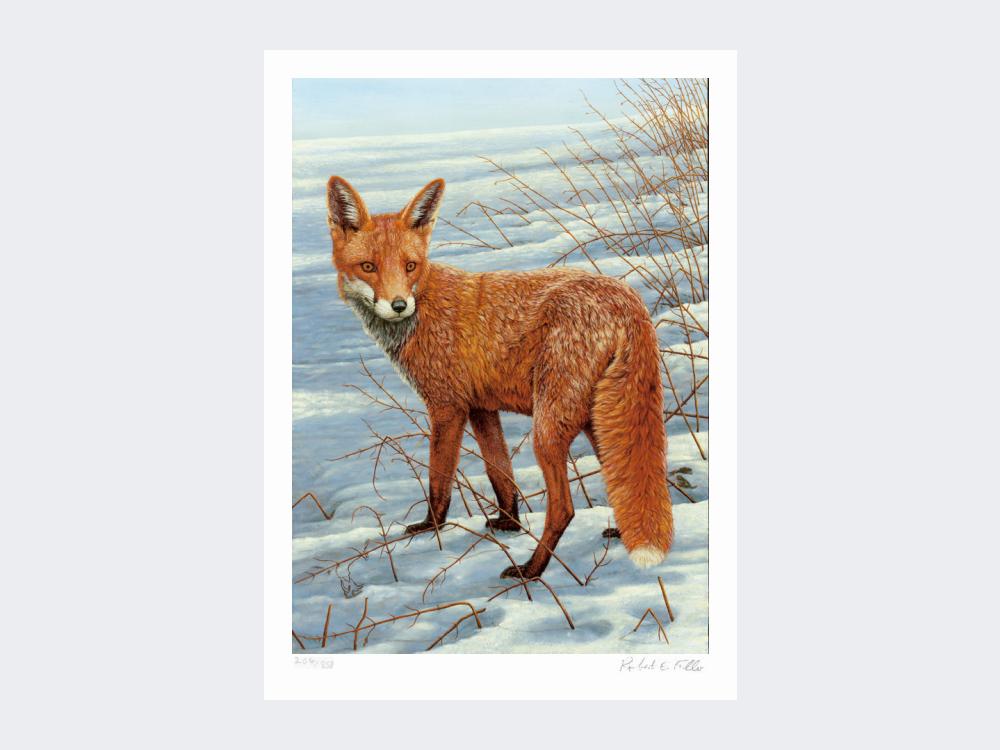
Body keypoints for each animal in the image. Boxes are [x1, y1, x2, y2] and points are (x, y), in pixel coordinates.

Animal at [327, 175, 673, 579]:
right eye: (368, 266)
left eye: (410, 266)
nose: (399, 305)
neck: (424, 305)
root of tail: (627, 300)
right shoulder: (481, 408)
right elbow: (500, 474)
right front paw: (509, 523)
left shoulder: (447, 407)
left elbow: (438, 481)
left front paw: (431, 527)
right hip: (598, 419)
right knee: (629, 478)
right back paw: (622, 532)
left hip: (549, 427)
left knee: (564, 509)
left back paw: (532, 570)